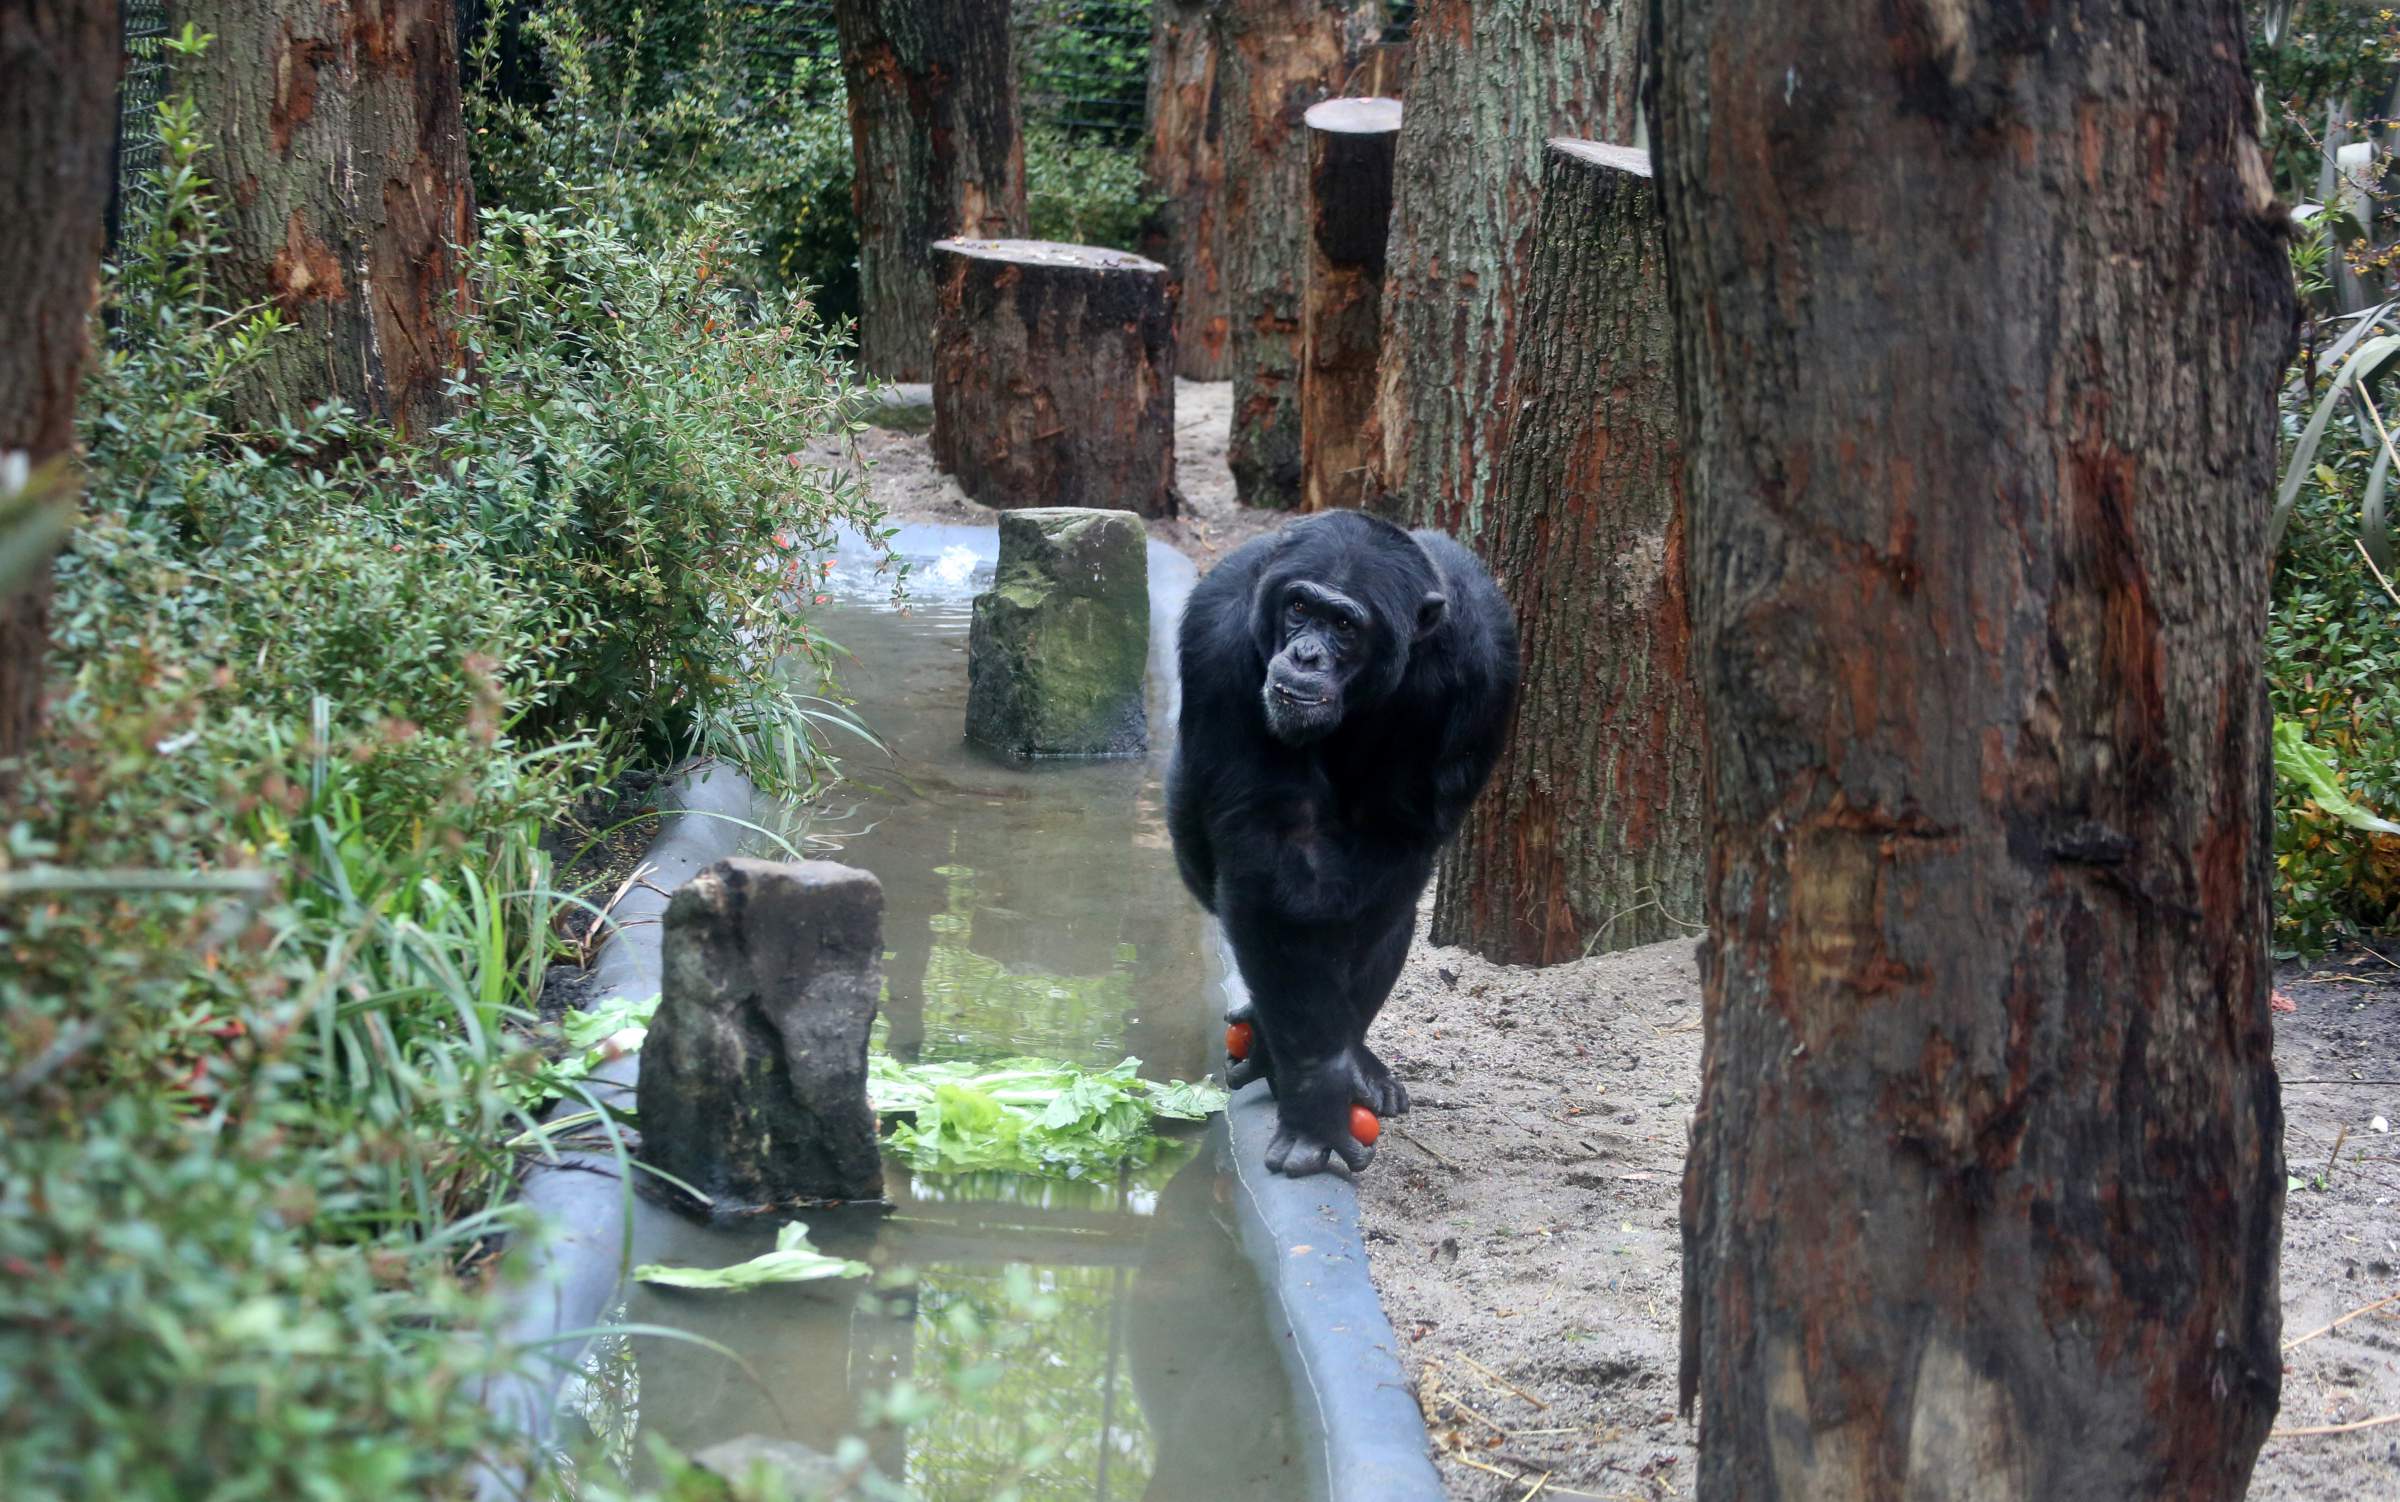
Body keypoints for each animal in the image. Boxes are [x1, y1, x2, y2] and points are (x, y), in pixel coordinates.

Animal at [1166, 508, 1516, 1175]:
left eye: (1346, 625)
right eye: (1300, 607)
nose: (1305, 654)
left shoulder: (1481, 668)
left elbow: (1395, 841)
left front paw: (1331, 1067)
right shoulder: (1219, 637)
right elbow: (1279, 852)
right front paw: (1317, 1085)